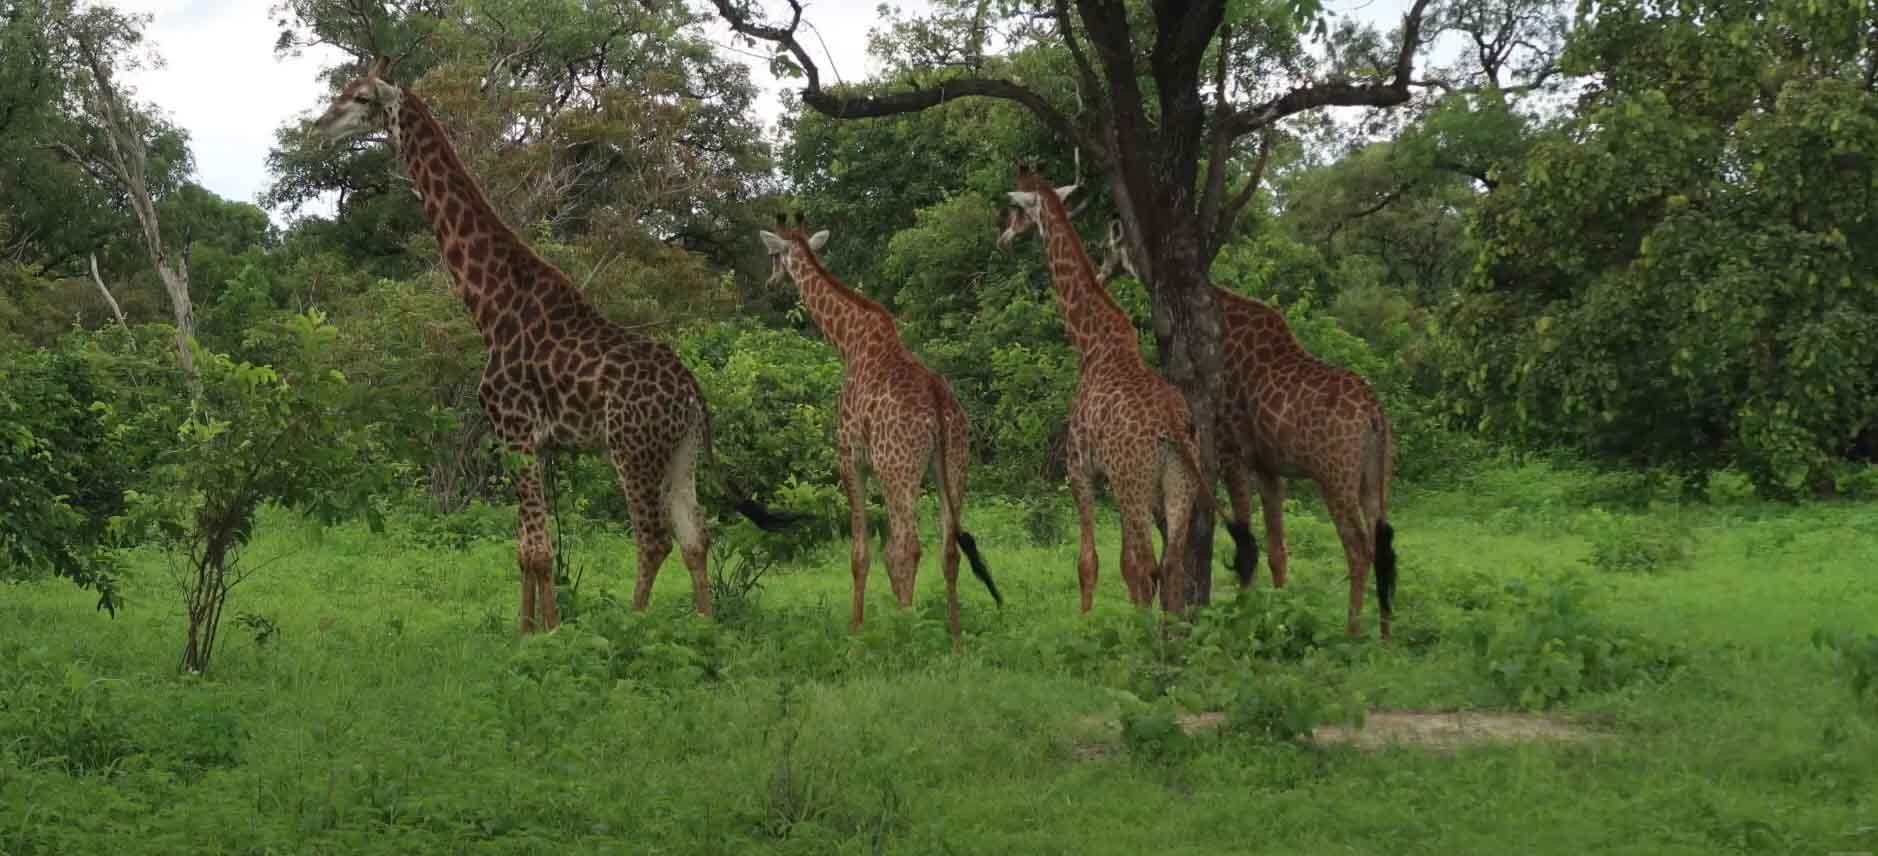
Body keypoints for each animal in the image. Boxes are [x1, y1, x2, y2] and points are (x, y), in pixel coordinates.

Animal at [309, 53, 792, 626]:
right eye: (343, 89)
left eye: (361, 98)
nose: (318, 127)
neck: (491, 309)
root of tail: (694, 395)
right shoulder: (534, 441)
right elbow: (528, 551)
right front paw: (527, 631)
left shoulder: (513, 427)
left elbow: (539, 550)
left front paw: (551, 634)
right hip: (681, 451)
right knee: (697, 536)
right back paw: (705, 627)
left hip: (631, 448)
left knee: (653, 540)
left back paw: (634, 625)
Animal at [758, 212, 1006, 649]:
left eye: (773, 255)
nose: (770, 283)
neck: (849, 341)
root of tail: (938, 404)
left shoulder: (851, 458)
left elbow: (861, 553)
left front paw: (857, 635)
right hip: (952, 465)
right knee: (948, 547)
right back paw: (955, 640)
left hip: (898, 468)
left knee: (907, 546)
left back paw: (909, 635)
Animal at [999, 162, 1201, 615]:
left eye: (1016, 209)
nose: (1002, 237)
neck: (1093, 345)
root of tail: (1173, 429)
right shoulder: (1109, 477)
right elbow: (1124, 564)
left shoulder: (1081, 469)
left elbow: (1090, 562)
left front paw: (1087, 621)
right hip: (1176, 486)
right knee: (1172, 565)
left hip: (1135, 483)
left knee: (1148, 564)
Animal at [1089, 217, 1397, 638]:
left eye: (1106, 247)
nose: (1101, 275)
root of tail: (1375, 414)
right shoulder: (1269, 468)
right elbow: (1277, 550)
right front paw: (1280, 616)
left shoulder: (1230, 451)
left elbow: (1248, 544)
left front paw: (1245, 617)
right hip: (1374, 478)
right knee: (1383, 547)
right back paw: (1384, 636)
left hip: (1335, 478)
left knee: (1358, 548)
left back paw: (1352, 633)